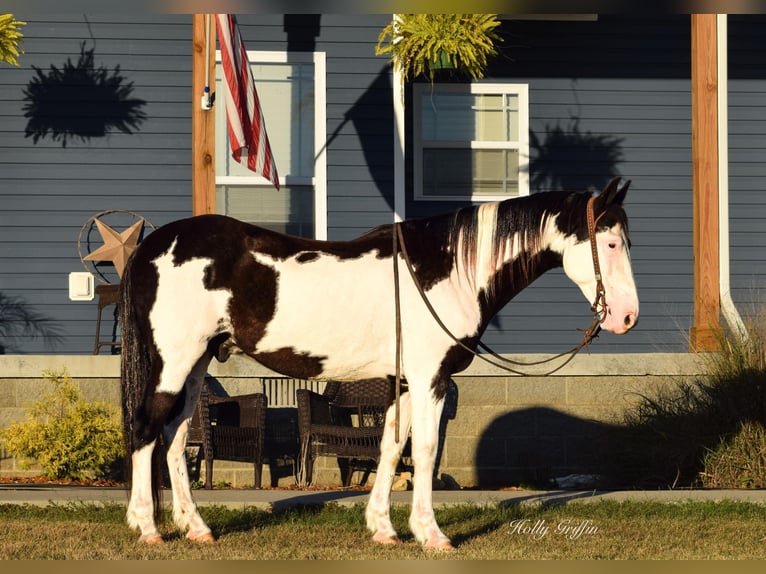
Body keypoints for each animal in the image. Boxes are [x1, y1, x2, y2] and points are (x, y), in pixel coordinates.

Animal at [120, 178, 640, 552]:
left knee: (175, 439)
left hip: (195, 366)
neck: (447, 270)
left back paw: (196, 527)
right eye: (612, 244)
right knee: (146, 430)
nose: (627, 317)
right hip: (173, 362)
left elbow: (390, 449)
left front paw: (384, 529)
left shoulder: (406, 384)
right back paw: (147, 528)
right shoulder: (431, 379)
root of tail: (151, 246)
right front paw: (432, 535)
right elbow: (425, 451)